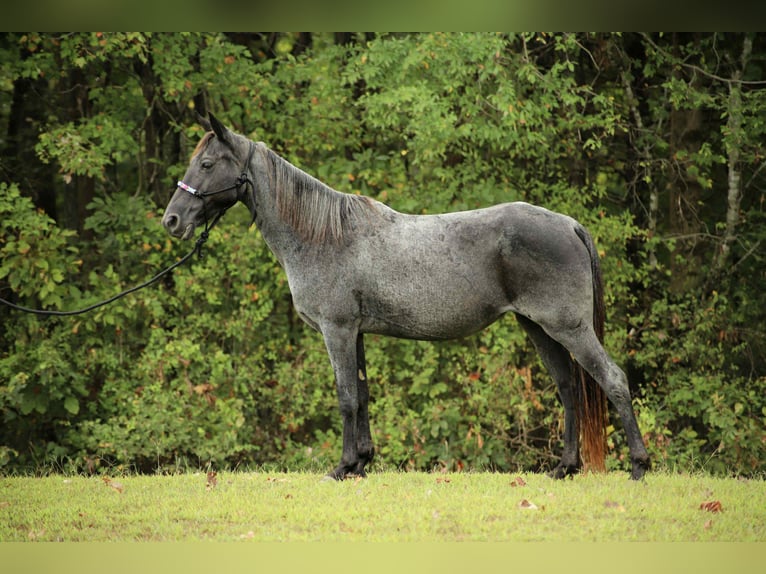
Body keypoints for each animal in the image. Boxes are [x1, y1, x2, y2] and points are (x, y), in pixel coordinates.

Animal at [162, 113, 651, 481]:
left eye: (207, 164)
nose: (171, 220)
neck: (324, 234)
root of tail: (569, 223)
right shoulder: (355, 333)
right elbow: (362, 394)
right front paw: (361, 464)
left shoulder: (337, 330)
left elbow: (345, 396)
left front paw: (342, 468)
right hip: (538, 327)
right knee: (568, 388)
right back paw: (564, 468)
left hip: (567, 327)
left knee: (612, 380)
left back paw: (638, 466)